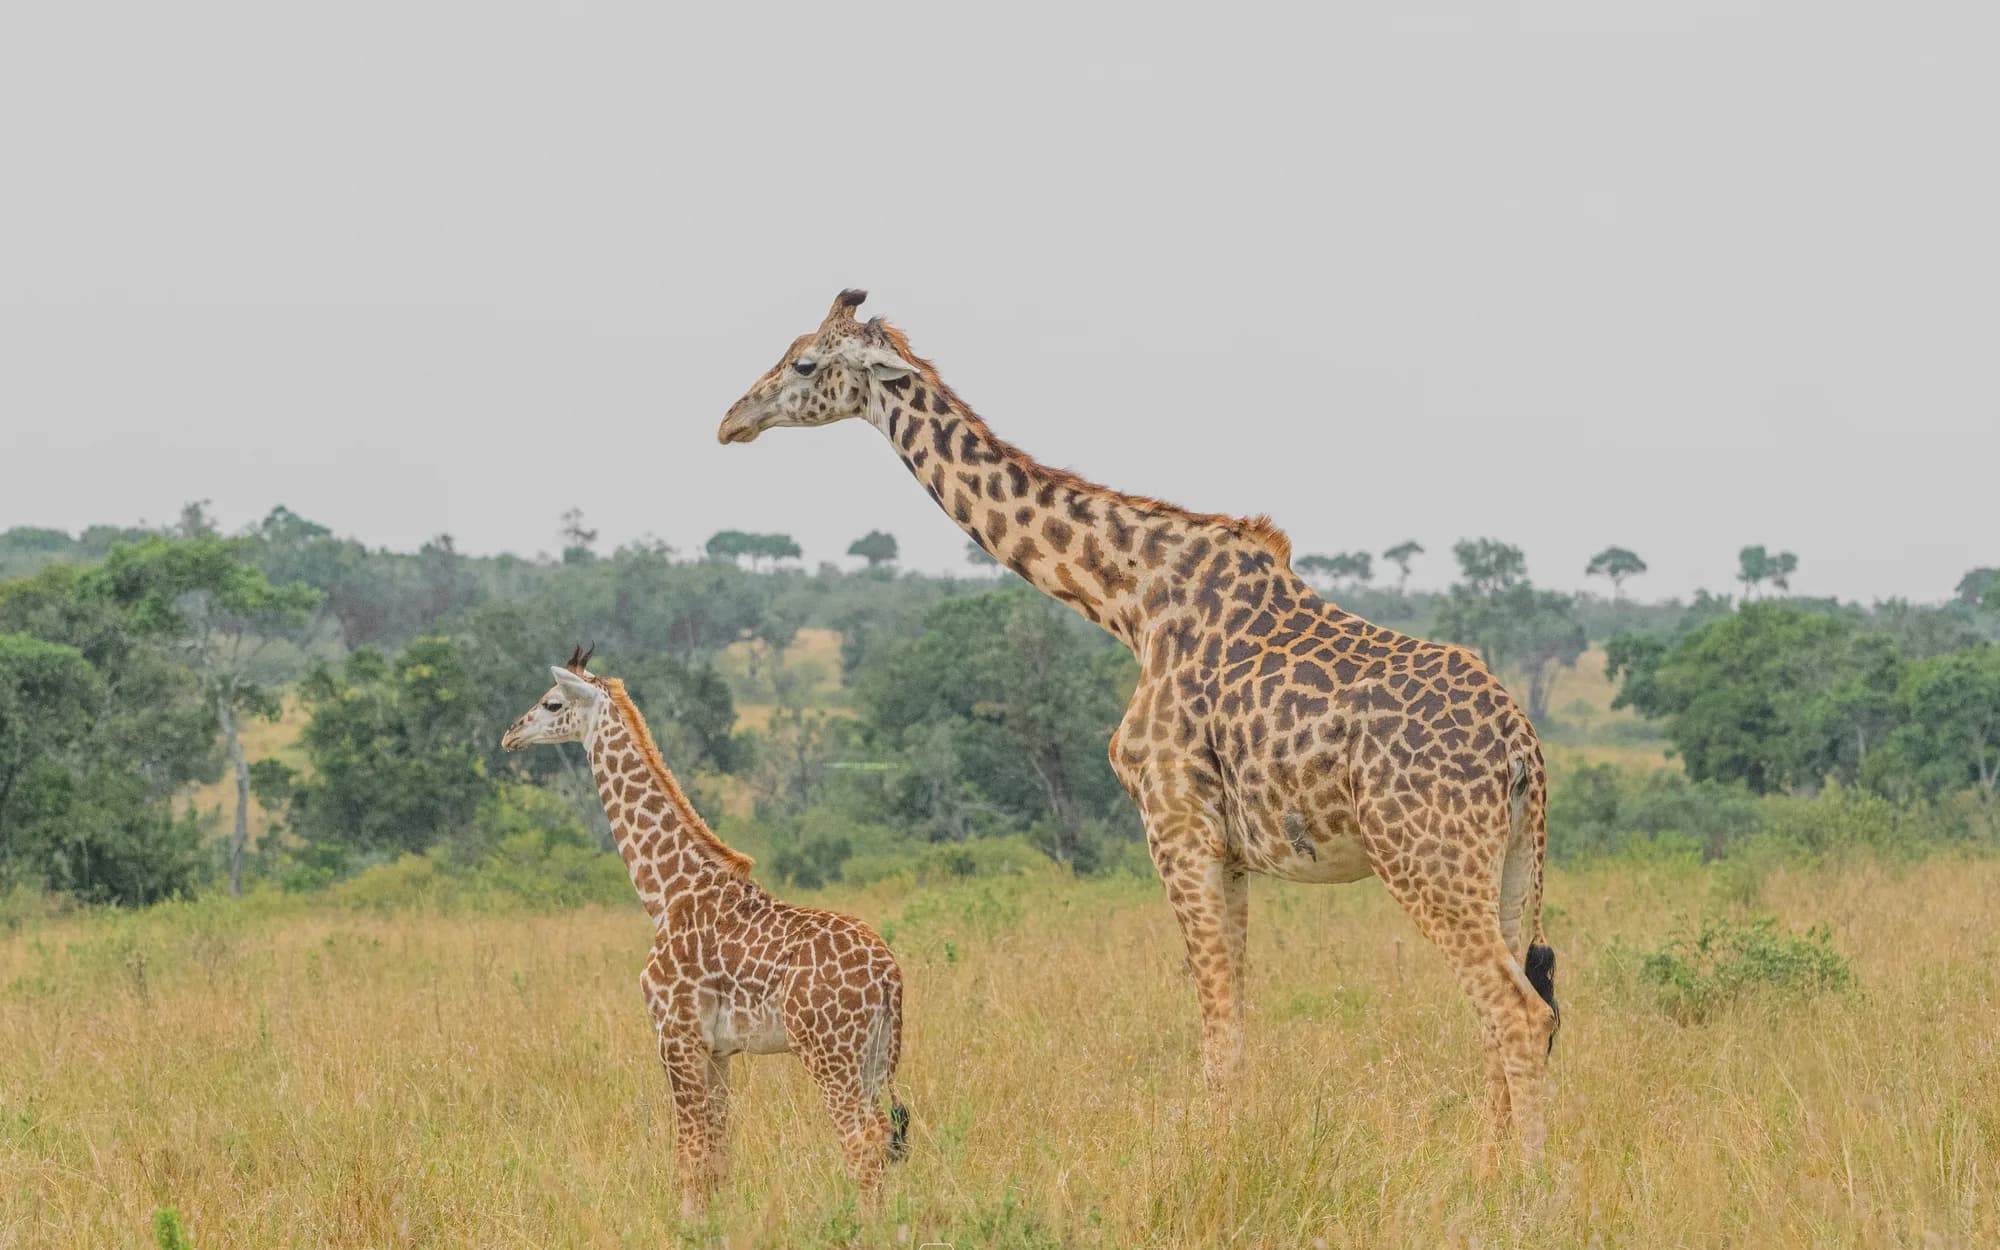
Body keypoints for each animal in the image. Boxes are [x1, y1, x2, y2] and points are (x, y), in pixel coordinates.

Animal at [501, 646, 910, 1213]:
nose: (510, 734)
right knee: (884, 1138)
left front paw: (687, 1221)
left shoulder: (674, 1035)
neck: (666, 892)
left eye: (551, 702)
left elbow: (690, 1156)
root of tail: (889, 976)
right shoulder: (718, 1051)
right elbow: (718, 1158)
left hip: (830, 1054)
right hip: (874, 1056)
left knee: (862, 1141)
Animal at [718, 291, 1561, 1169]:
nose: (732, 420)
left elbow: (1219, 1034)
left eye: (807, 362)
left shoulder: (1175, 823)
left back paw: (1524, 1180)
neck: (1127, 596)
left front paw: (1219, 1166)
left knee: (1518, 1012)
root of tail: (1520, 751)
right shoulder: (1227, 847)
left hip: (1426, 860)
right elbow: (1236, 1020)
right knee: (1507, 1009)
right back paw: (1485, 1168)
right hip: (1510, 864)